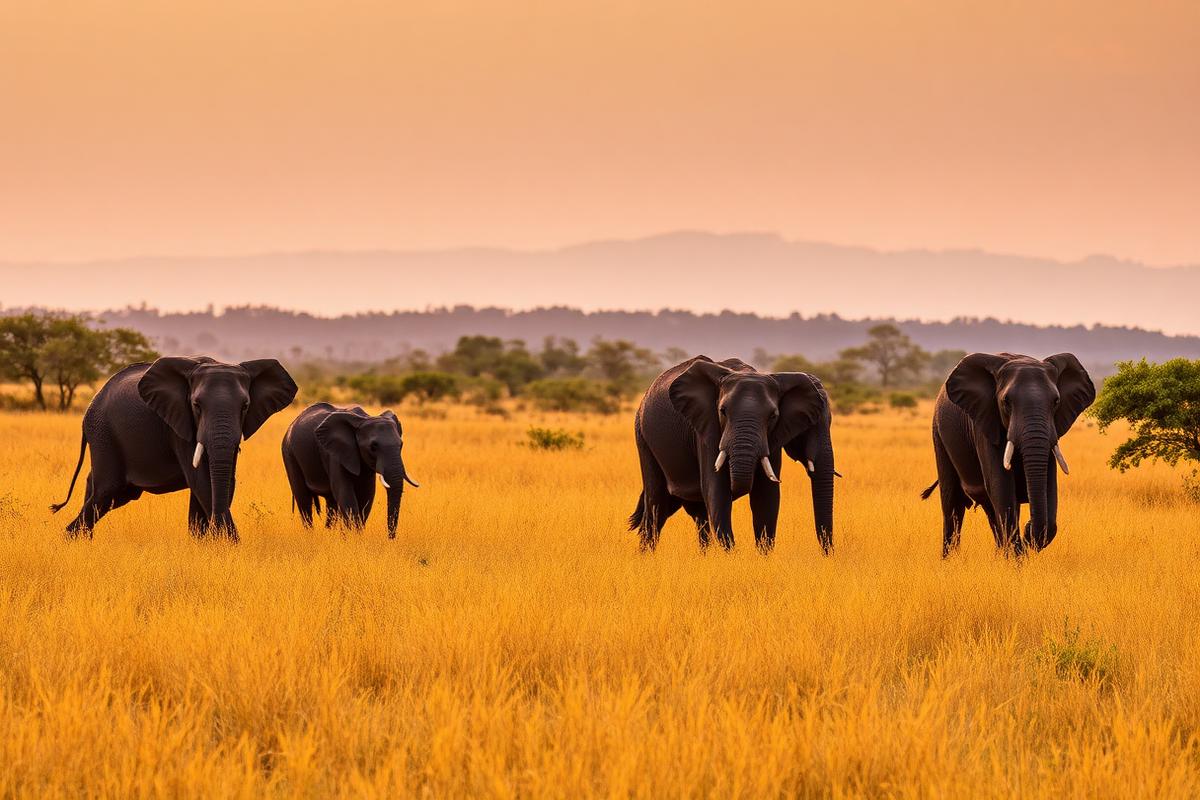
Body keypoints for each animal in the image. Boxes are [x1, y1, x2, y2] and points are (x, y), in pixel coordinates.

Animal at [51, 356, 298, 539]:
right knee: (106, 492)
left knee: (107, 494)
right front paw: (228, 544)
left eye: (245, 406)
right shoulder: (178, 425)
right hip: (104, 434)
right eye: (196, 406)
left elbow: (221, 482)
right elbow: (201, 482)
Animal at [281, 403, 419, 537]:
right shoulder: (335, 454)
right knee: (303, 499)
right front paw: (355, 538)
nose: (391, 538)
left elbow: (367, 495)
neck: (363, 418)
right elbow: (345, 493)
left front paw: (353, 537)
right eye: (373, 446)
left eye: (401, 445)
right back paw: (310, 536)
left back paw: (329, 534)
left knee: (331, 504)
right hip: (289, 454)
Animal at [629, 356, 835, 553]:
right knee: (657, 506)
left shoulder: (772, 436)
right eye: (722, 411)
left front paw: (763, 556)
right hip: (643, 437)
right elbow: (717, 491)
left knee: (693, 512)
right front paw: (730, 556)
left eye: (773, 416)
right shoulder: (708, 428)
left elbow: (767, 495)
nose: (827, 553)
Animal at [922, 352, 1095, 556]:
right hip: (939, 434)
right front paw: (1019, 559)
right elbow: (1001, 486)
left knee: (991, 511)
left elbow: (1048, 487)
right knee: (953, 505)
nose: (1029, 527)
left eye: (1056, 402)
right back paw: (950, 560)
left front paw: (1024, 542)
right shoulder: (985, 424)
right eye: (1006, 402)